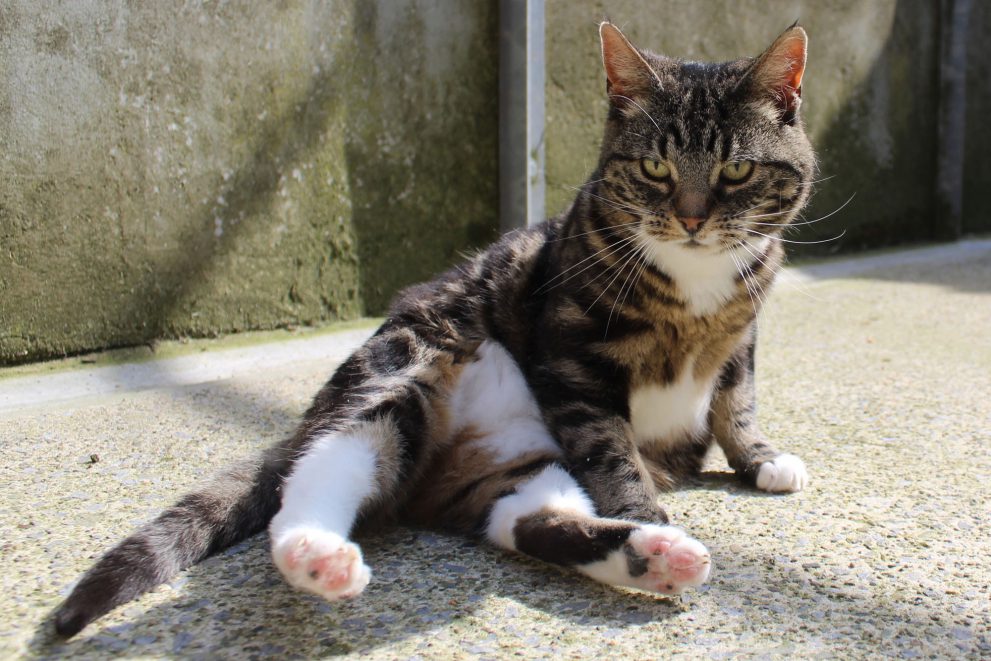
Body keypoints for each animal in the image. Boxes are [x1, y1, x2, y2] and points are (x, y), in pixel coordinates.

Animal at [52, 23, 812, 636]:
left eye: (736, 169)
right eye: (654, 166)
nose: (690, 218)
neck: (694, 285)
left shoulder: (742, 334)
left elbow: (734, 399)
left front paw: (758, 458)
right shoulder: (571, 358)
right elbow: (611, 449)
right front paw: (647, 507)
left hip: (516, 461)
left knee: (528, 519)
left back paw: (653, 558)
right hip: (405, 366)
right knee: (325, 466)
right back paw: (314, 556)